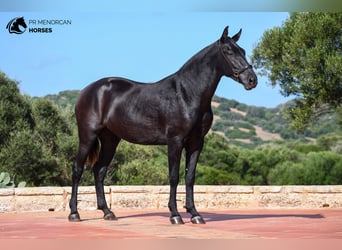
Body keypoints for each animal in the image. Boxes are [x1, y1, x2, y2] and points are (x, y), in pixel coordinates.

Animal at [69, 25, 256, 225]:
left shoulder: (196, 143)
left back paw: (107, 212)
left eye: (243, 51)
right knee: (78, 169)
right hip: (87, 136)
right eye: (228, 51)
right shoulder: (175, 141)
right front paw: (175, 215)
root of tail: (88, 90)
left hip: (110, 139)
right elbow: (173, 176)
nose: (252, 80)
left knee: (99, 170)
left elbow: (190, 177)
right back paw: (74, 213)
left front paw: (195, 214)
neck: (187, 94)